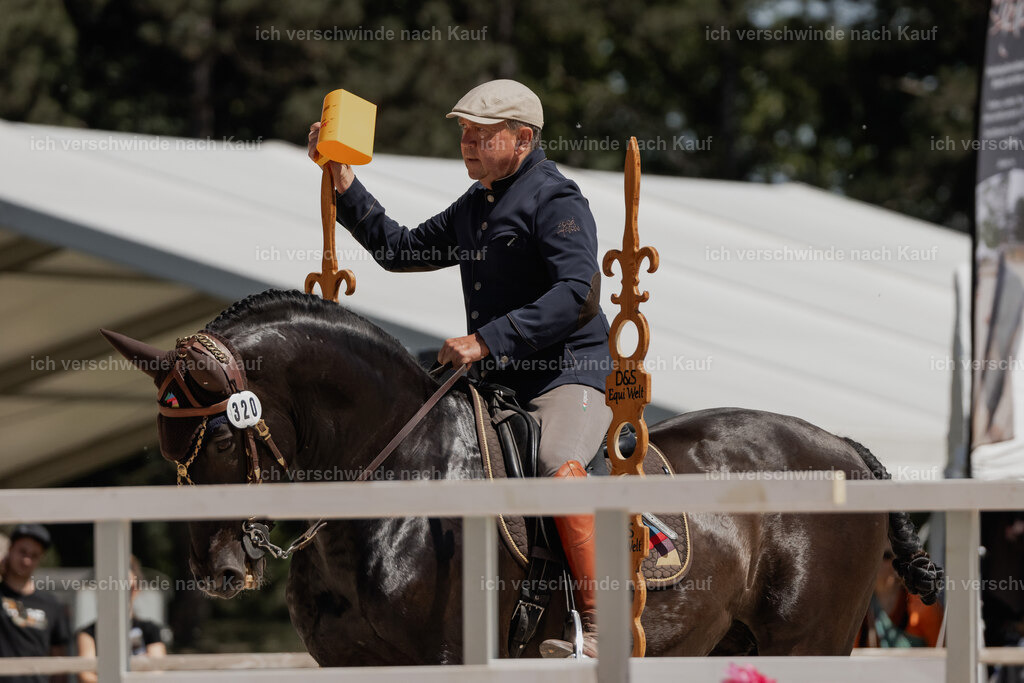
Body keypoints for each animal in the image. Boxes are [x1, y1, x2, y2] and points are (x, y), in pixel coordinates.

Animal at [102, 289, 943, 664]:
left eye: (216, 435)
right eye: (165, 448)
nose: (221, 570)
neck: (397, 482)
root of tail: (838, 445)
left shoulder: (451, 655)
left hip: (810, 642)